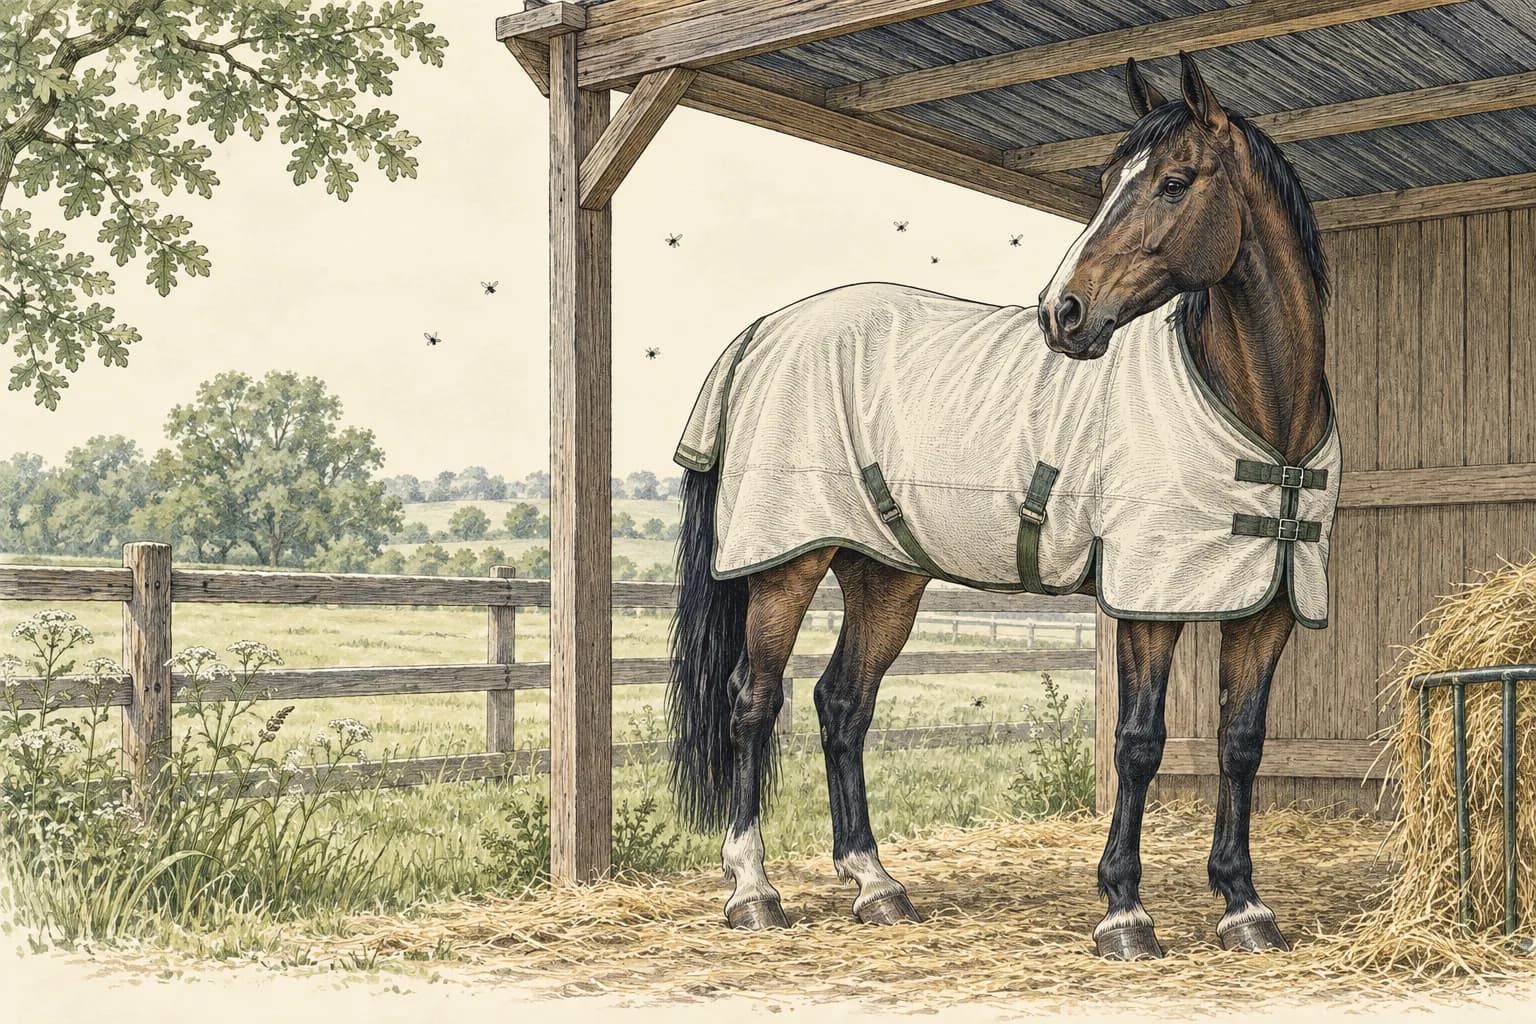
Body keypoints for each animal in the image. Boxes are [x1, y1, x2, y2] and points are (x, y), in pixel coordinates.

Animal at [665, 51, 1333, 961]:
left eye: (1174, 181)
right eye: (1106, 181)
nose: (1064, 312)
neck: (1261, 412)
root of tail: (763, 331)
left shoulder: (1266, 605)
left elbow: (1241, 745)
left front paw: (1244, 905)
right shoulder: (1148, 602)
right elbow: (1139, 744)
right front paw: (1124, 912)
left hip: (884, 575)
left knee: (842, 705)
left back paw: (876, 885)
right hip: (787, 566)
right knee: (753, 702)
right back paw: (753, 891)